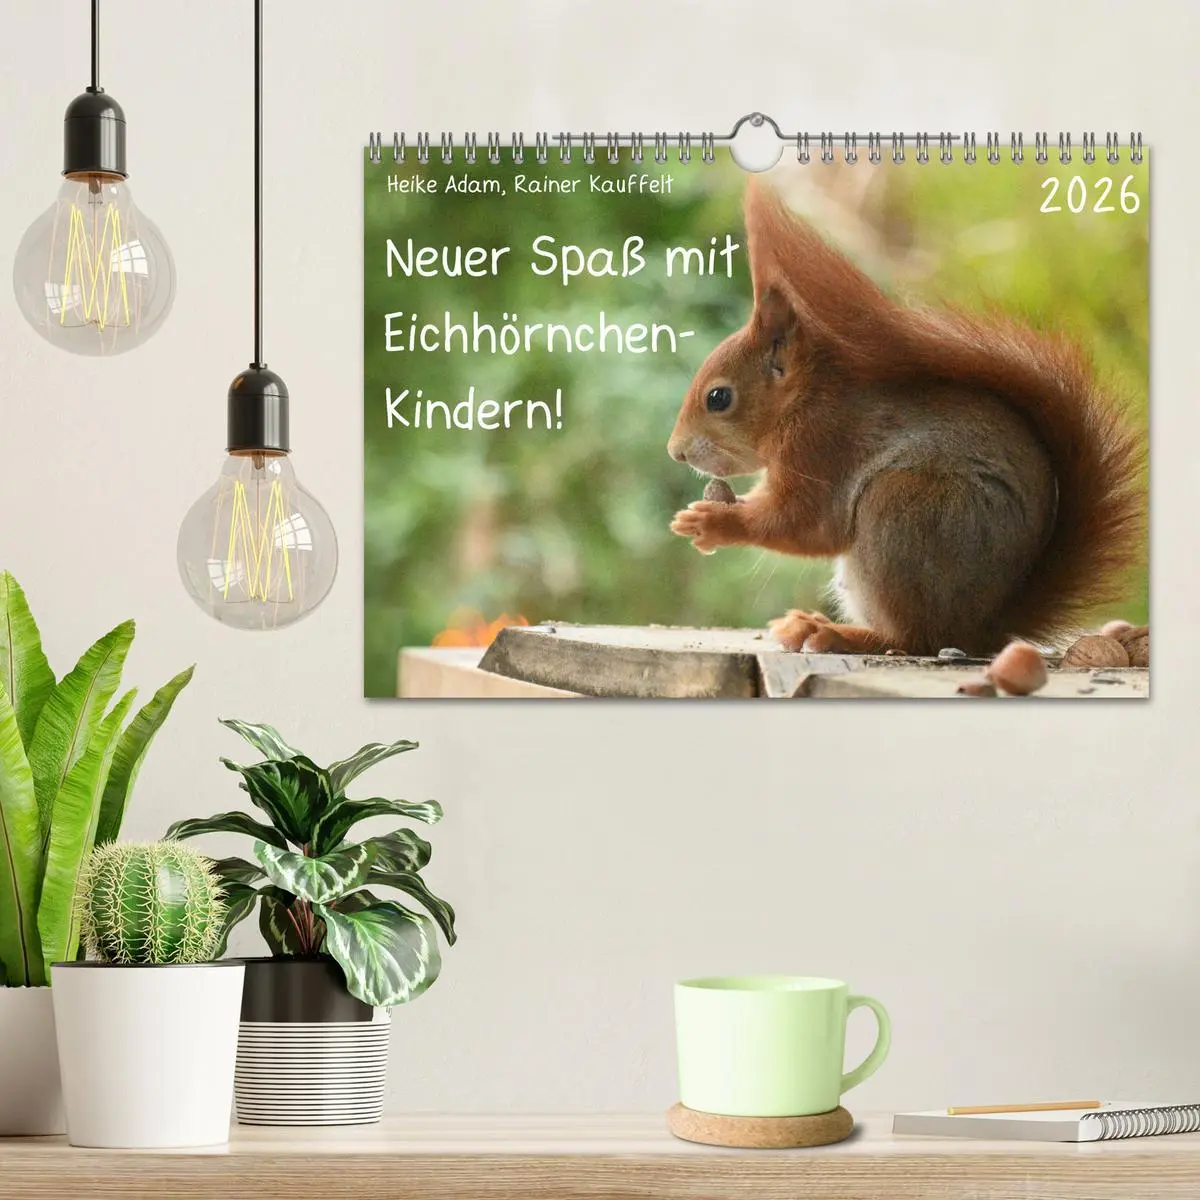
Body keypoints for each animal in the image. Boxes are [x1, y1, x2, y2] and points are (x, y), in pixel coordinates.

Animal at [668, 179, 1145, 656]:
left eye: (718, 398)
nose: (676, 453)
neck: (803, 403)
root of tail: (983, 628)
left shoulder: (822, 449)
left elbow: (803, 524)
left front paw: (711, 522)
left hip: (902, 513)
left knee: (915, 638)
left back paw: (838, 633)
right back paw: (810, 624)